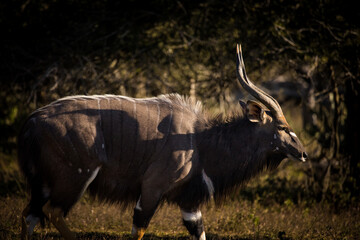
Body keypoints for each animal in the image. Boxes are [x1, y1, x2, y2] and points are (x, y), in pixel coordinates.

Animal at [18, 44, 308, 238]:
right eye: (283, 127)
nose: (304, 154)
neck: (199, 140)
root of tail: (32, 122)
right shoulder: (152, 188)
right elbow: (138, 229)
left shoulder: (190, 203)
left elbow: (199, 231)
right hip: (74, 178)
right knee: (53, 211)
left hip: (42, 185)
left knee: (29, 216)